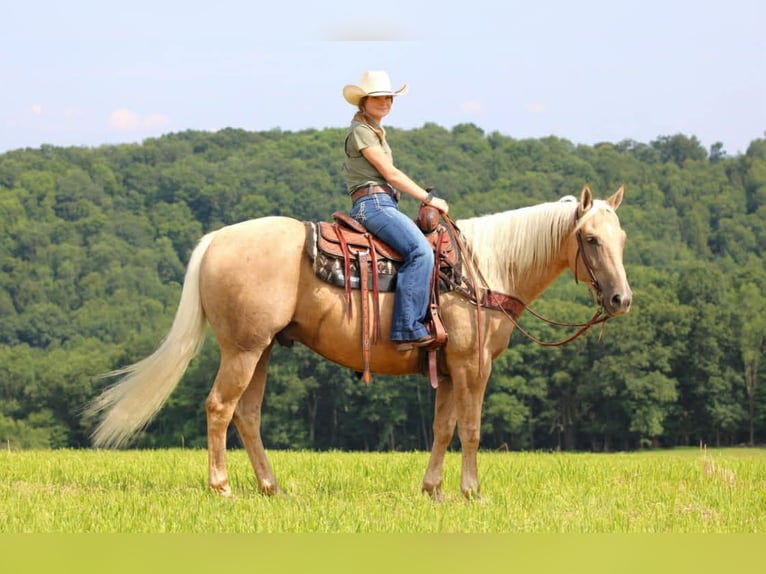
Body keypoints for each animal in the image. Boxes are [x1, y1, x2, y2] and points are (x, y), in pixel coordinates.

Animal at [88, 184, 631, 500]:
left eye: (621, 239)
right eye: (590, 239)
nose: (621, 298)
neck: (484, 270)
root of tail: (216, 240)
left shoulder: (447, 368)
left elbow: (442, 430)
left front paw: (432, 491)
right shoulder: (472, 365)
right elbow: (472, 430)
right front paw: (472, 493)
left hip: (261, 350)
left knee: (247, 416)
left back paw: (271, 487)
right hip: (242, 350)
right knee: (220, 408)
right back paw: (221, 488)